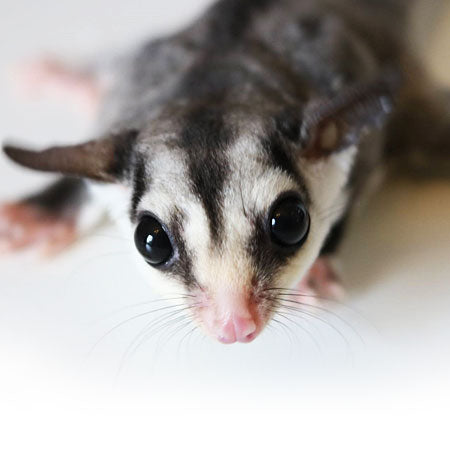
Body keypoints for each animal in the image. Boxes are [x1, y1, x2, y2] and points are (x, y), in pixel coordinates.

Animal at [1, 0, 450, 344]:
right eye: (151, 242)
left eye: (290, 223)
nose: (235, 325)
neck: (220, 81)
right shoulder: (131, 90)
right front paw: (39, 216)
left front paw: (318, 271)